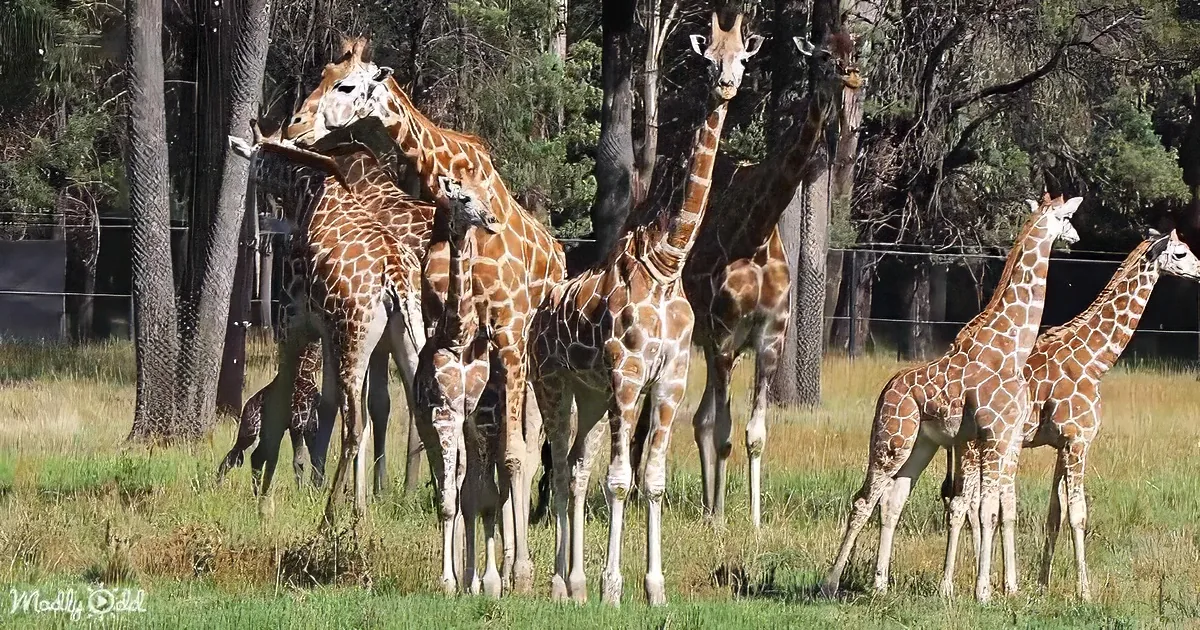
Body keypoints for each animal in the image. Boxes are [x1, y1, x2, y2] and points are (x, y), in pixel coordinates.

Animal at [282, 41, 566, 593]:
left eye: (347, 85)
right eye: (321, 74)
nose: (295, 125)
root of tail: (560, 253)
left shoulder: (506, 330)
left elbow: (511, 455)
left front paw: (516, 575)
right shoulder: (440, 327)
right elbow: (460, 460)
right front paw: (467, 574)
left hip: (529, 356)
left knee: (525, 447)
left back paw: (522, 570)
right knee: (488, 452)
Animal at [528, 13, 762, 607]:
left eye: (742, 57)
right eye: (708, 58)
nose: (726, 84)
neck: (667, 262)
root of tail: (539, 317)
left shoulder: (671, 376)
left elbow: (650, 479)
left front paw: (654, 587)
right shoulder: (627, 373)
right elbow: (619, 480)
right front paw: (613, 588)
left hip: (588, 395)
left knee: (575, 467)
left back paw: (574, 583)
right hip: (552, 384)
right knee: (561, 471)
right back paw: (559, 584)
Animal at [821, 194, 1082, 602]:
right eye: (1066, 216)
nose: (1076, 236)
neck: (1011, 347)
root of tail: (886, 390)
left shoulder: (1004, 437)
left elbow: (989, 508)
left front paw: (988, 587)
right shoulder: (994, 435)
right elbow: (987, 509)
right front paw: (983, 592)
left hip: (922, 445)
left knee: (892, 500)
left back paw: (880, 584)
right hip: (892, 440)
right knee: (864, 499)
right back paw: (831, 583)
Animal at [938, 229, 1200, 600]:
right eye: (1180, 253)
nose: (1199, 270)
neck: (1095, 360)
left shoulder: (1063, 444)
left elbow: (1055, 513)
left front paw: (1041, 586)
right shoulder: (1079, 441)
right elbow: (1078, 514)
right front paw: (1085, 592)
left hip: (969, 445)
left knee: (967, 504)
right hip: (975, 446)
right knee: (963, 504)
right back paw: (953, 586)